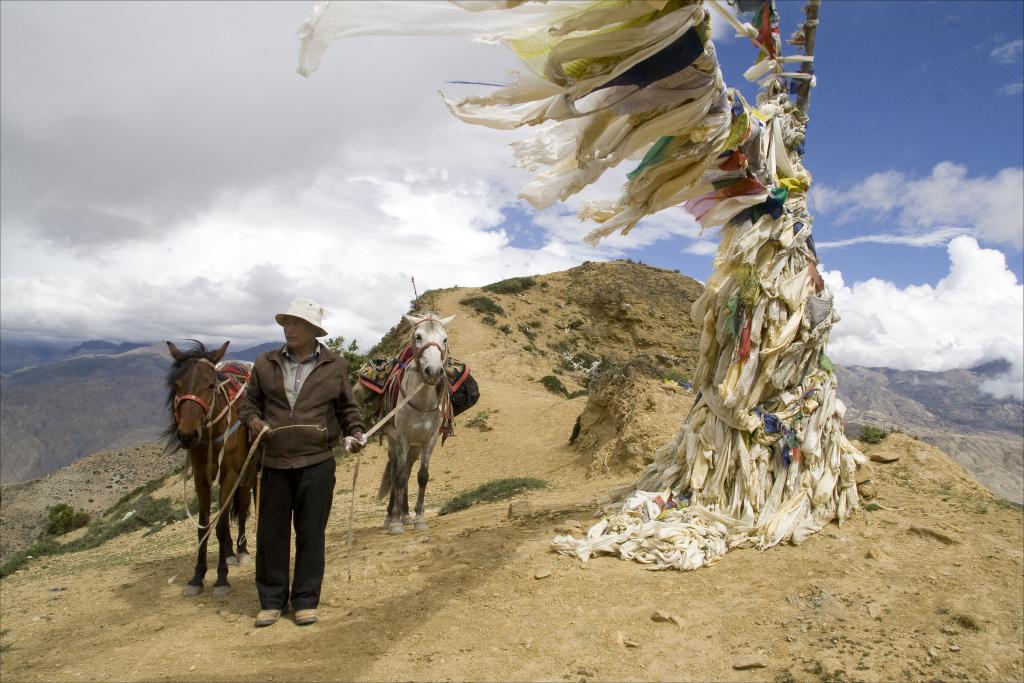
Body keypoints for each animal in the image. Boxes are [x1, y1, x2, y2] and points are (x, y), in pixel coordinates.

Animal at [163, 342, 258, 598]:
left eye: (210, 385)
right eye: (177, 385)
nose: (187, 435)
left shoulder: (230, 474)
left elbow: (223, 525)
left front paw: (221, 579)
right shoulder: (200, 478)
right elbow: (205, 525)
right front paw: (197, 577)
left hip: (249, 470)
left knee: (243, 504)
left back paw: (242, 551)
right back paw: (229, 553)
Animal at [378, 313, 454, 536]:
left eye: (444, 339)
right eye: (418, 336)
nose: (434, 371)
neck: (421, 402)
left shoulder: (429, 441)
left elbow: (422, 476)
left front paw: (419, 518)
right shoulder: (402, 438)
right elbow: (400, 478)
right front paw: (395, 523)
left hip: (414, 448)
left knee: (408, 471)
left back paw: (406, 515)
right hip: (394, 443)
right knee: (396, 472)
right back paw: (391, 516)